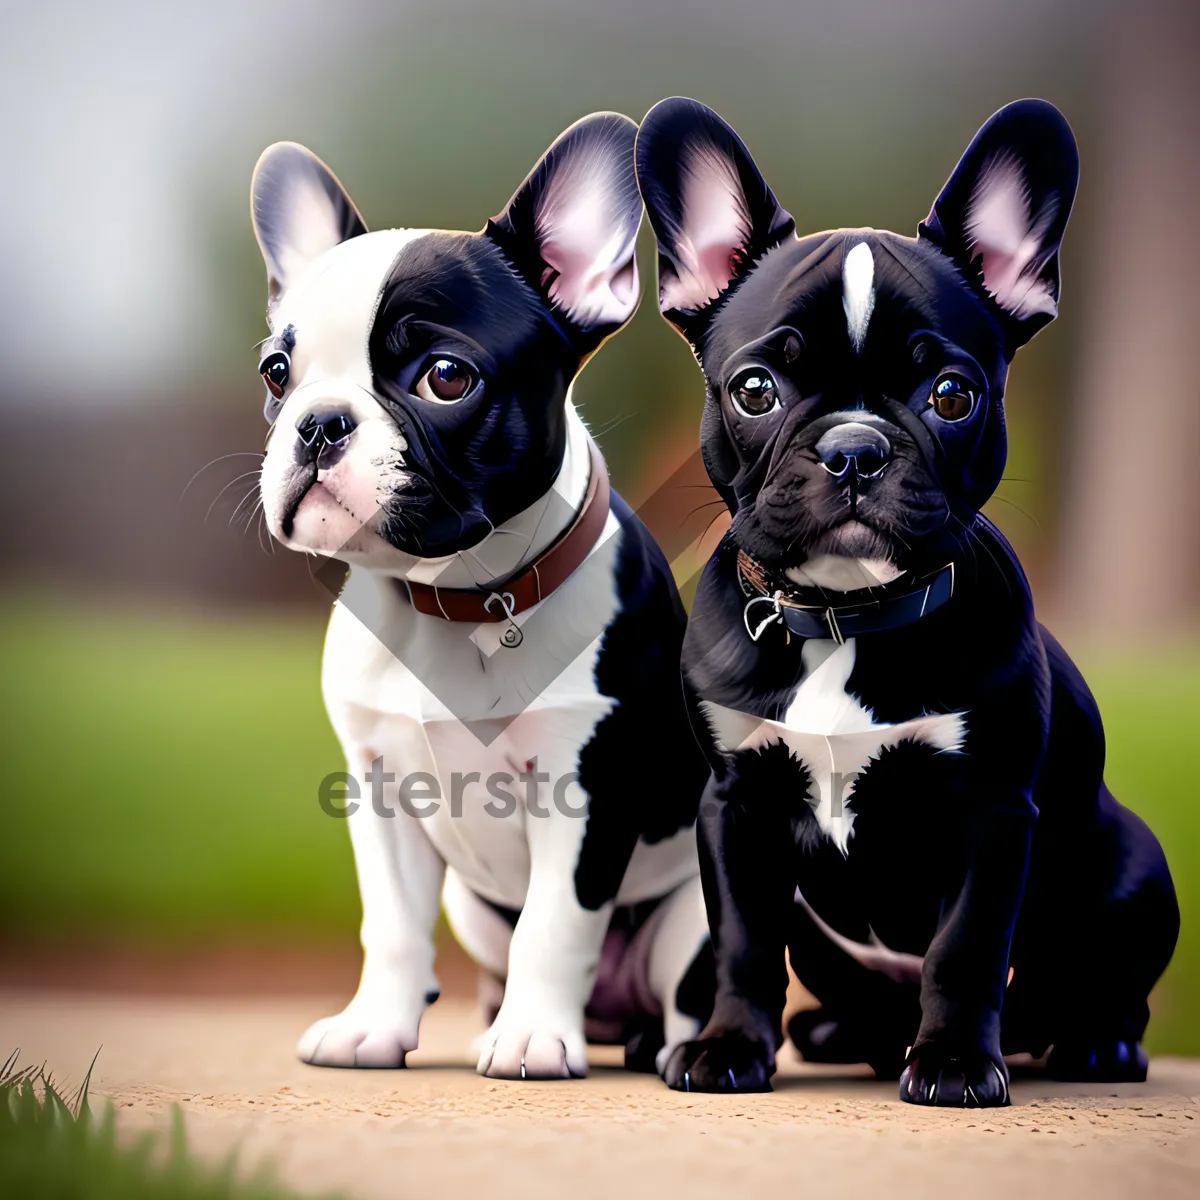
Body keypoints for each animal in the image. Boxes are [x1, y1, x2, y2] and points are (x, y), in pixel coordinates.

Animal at [247, 114, 705, 1080]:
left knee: (690, 984)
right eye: (276, 372)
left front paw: (533, 1038)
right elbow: (390, 925)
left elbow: (556, 927)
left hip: (693, 911)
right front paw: (372, 1029)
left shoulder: (583, 792)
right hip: (470, 906)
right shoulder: (379, 790)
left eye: (446, 378)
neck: (455, 599)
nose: (319, 423)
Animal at [638, 98, 1180, 1108]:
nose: (854, 448)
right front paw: (727, 1047)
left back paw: (1093, 1044)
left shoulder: (992, 813)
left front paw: (958, 1062)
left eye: (953, 394)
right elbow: (741, 944)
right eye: (755, 389)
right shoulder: (733, 808)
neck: (844, 617)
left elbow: (965, 950)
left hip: (1138, 873)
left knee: (1089, 989)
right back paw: (836, 1032)